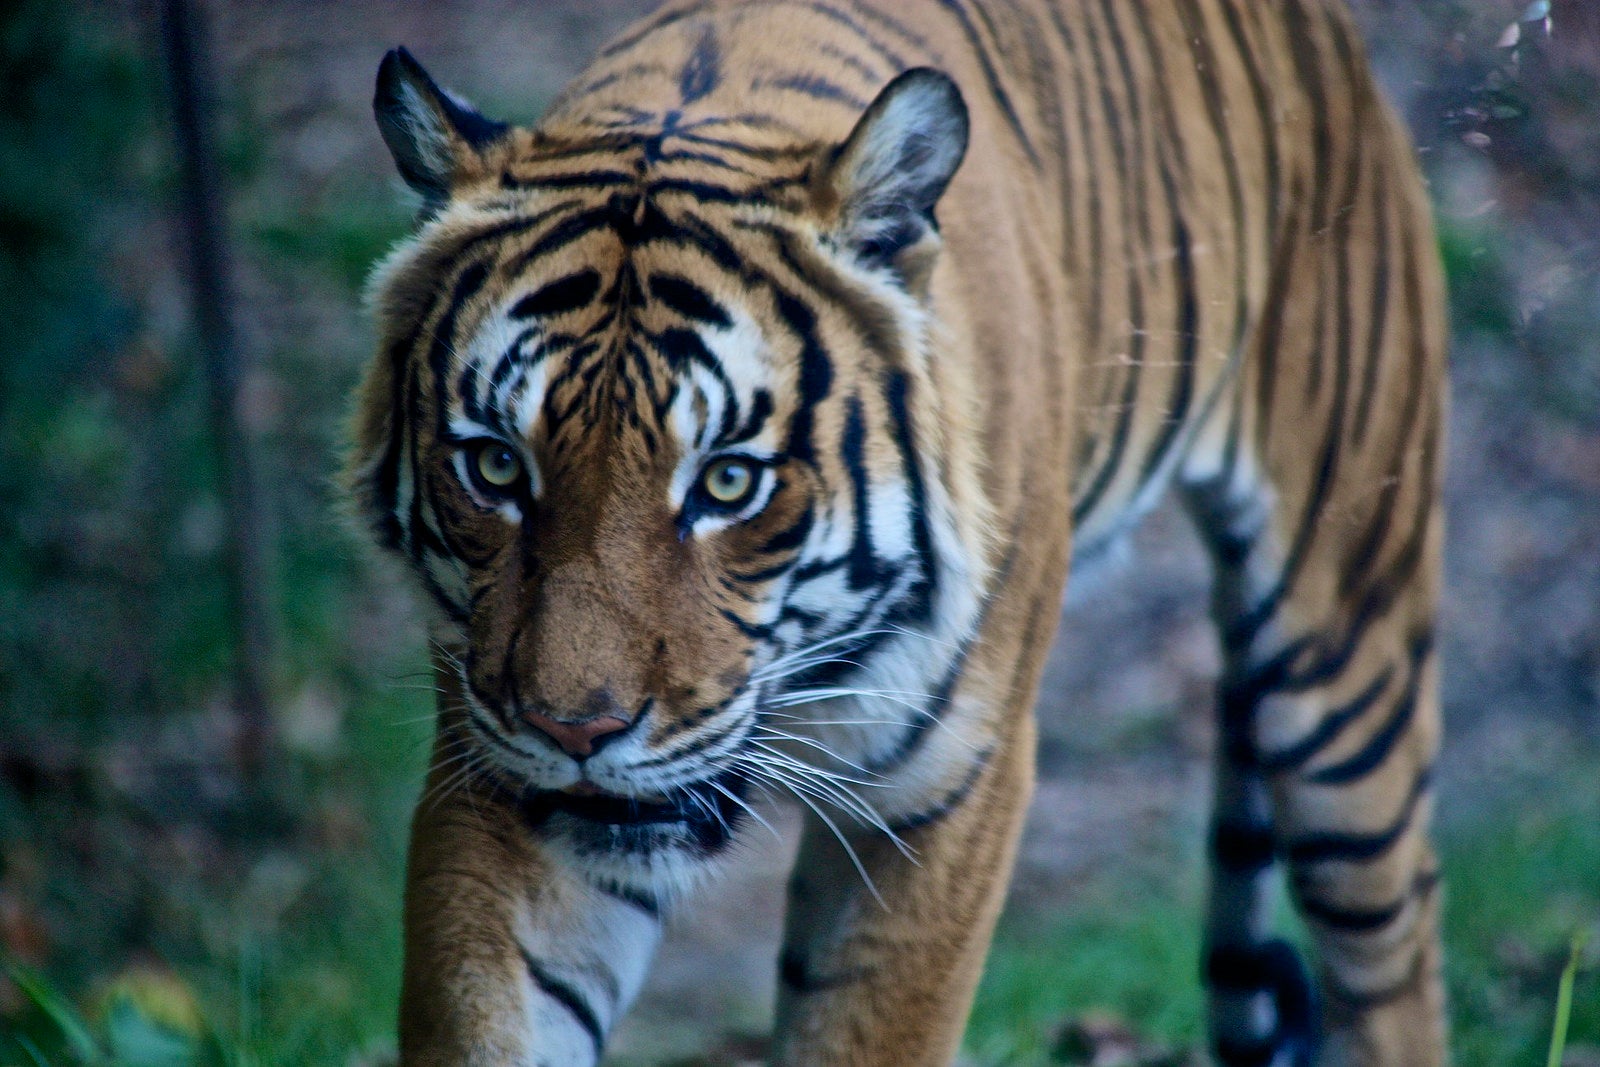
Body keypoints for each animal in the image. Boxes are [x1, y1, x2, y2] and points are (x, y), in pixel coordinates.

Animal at [347, 0, 1452, 1062]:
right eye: (496, 464)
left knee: (1392, 962)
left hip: (1339, 658)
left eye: (728, 481)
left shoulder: (947, 788)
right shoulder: (493, 767)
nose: (573, 732)